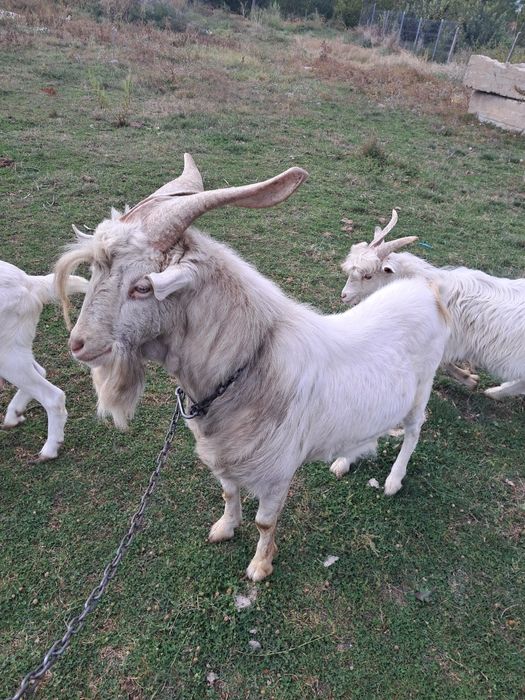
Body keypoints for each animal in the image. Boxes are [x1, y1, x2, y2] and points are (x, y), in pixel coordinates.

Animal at [0, 261, 88, 460]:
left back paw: (50, 449)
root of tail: (29, 283)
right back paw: (14, 414)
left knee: (53, 396)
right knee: (40, 371)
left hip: (5, 355)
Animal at [55, 154, 449, 580]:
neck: (250, 367)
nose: (78, 344)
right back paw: (345, 460)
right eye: (94, 272)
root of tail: (427, 290)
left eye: (142, 287)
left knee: (413, 432)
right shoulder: (225, 459)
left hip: (422, 389)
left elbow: (265, 522)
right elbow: (228, 492)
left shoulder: (277, 473)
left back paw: (393, 480)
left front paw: (260, 565)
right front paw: (225, 528)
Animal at [340, 210, 525, 400]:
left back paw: (495, 392)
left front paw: (469, 379)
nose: (344, 295)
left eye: (368, 276)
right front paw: (470, 378)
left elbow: (443, 362)